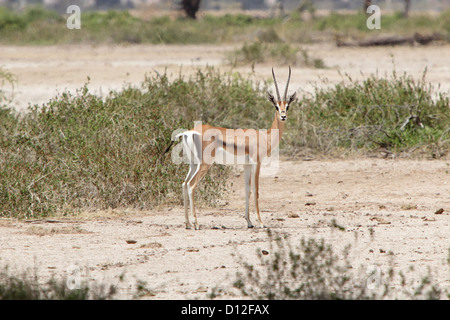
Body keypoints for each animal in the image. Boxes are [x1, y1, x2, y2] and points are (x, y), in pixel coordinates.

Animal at [167, 67, 298, 229]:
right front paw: (261, 222)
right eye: (276, 106)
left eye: (287, 106)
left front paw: (249, 222)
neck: (265, 136)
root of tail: (189, 131)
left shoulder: (246, 165)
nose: (283, 116)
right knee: (191, 185)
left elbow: (247, 190)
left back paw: (187, 223)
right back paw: (196, 223)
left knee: (184, 184)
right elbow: (256, 190)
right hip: (204, 164)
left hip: (193, 164)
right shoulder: (256, 163)